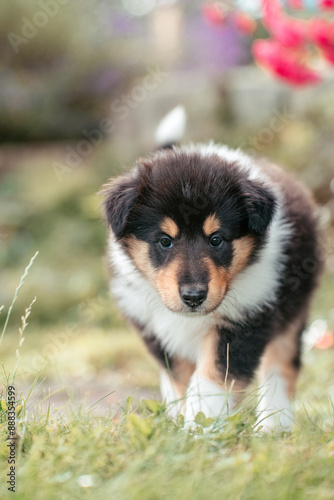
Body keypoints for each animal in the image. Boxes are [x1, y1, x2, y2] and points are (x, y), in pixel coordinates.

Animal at [101, 108, 320, 430]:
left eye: (216, 239)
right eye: (164, 241)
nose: (193, 297)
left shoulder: (245, 319)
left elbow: (210, 380)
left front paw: (197, 430)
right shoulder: (151, 325)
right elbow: (179, 376)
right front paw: (182, 423)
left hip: (293, 311)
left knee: (281, 366)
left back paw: (274, 424)